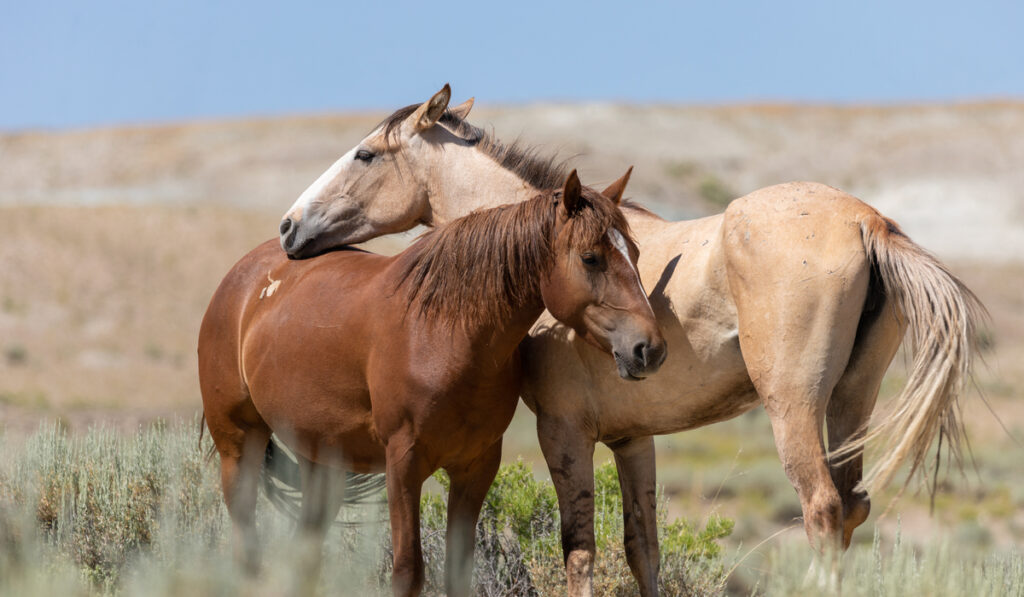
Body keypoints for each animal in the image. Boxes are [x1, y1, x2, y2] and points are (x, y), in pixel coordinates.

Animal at [197, 168, 663, 597]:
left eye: (637, 253)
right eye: (590, 258)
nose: (650, 348)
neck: (446, 332)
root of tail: (240, 279)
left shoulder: (475, 467)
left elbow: (458, 572)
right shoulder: (403, 464)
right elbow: (408, 572)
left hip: (319, 458)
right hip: (239, 444)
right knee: (246, 543)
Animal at [278, 86, 983, 593]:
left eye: (366, 154)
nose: (288, 227)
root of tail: (867, 222)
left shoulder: (564, 432)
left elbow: (578, 548)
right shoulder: (632, 439)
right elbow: (641, 547)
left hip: (794, 409)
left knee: (823, 512)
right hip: (849, 405)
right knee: (851, 508)